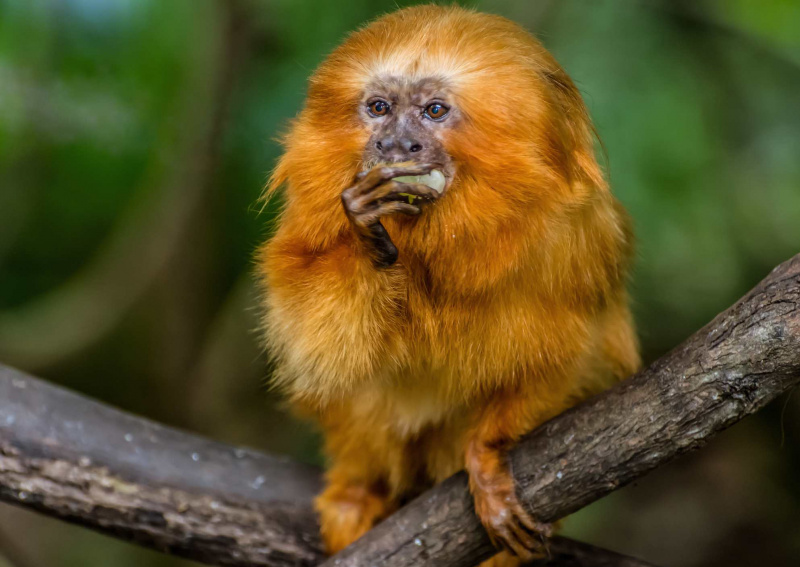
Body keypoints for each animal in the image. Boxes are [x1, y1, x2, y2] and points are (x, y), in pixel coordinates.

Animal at [257, 5, 640, 566]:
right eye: (378, 108)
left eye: (434, 111)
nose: (394, 144)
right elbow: (316, 344)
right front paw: (368, 231)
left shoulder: (574, 239)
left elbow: (573, 353)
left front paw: (486, 458)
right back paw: (358, 492)